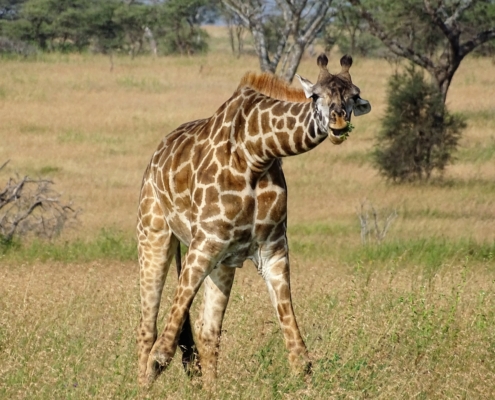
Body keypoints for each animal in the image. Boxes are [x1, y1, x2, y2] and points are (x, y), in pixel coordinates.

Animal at [138, 53, 370, 388]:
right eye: (315, 96)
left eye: (353, 95)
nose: (338, 123)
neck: (256, 153)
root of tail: (156, 156)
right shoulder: (204, 242)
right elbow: (162, 352)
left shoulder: (271, 250)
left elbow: (299, 354)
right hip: (153, 232)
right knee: (149, 328)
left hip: (222, 262)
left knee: (208, 333)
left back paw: (212, 391)